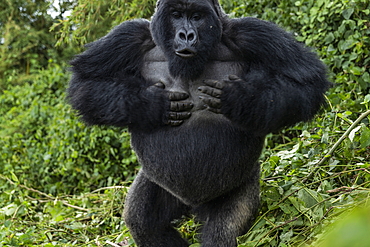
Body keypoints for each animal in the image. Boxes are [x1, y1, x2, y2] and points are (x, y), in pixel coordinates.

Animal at [68, 0, 330, 247]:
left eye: (196, 16)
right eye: (176, 15)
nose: (186, 35)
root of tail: (194, 206)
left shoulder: (253, 32)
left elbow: (306, 80)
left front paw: (240, 99)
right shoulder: (129, 35)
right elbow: (86, 83)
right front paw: (152, 103)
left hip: (242, 182)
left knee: (223, 231)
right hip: (160, 182)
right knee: (145, 224)